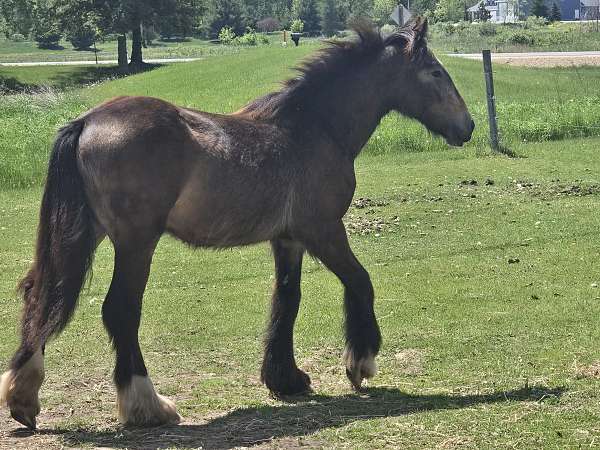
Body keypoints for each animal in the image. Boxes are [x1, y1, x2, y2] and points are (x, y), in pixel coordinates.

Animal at [0, 17, 474, 428]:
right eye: (435, 72)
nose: (467, 126)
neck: (312, 130)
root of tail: (86, 121)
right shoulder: (323, 230)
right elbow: (360, 281)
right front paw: (360, 364)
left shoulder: (288, 240)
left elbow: (287, 299)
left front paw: (285, 379)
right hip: (136, 242)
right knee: (120, 310)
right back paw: (149, 406)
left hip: (85, 233)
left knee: (41, 293)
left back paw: (23, 398)